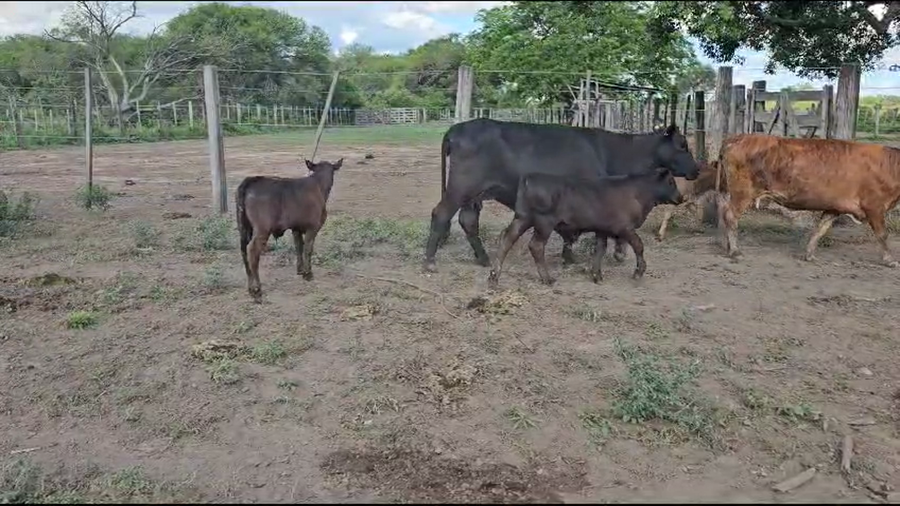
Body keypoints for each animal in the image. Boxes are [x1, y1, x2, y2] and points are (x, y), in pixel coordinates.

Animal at [235, 158, 343, 302]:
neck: (318, 185)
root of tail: (251, 181)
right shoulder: (313, 227)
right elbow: (308, 249)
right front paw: (308, 274)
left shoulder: (296, 229)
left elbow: (299, 247)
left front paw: (300, 270)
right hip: (262, 229)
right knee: (252, 251)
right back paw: (257, 290)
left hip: (244, 228)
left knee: (243, 250)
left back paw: (250, 288)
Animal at [423, 118, 702, 273]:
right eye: (682, 145)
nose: (697, 169)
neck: (614, 154)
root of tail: (458, 128)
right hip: (461, 187)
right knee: (441, 214)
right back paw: (429, 262)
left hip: (474, 195)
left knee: (468, 221)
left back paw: (483, 259)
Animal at [487, 168, 684, 288]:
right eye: (671, 182)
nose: (681, 198)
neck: (638, 192)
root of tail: (532, 176)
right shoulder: (625, 228)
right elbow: (638, 245)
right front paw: (638, 272)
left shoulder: (602, 230)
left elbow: (600, 250)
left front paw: (596, 275)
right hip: (544, 223)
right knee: (536, 246)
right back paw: (547, 278)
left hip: (522, 218)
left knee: (507, 239)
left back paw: (494, 277)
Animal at [716, 134, 900, 266]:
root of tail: (735, 138)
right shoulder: (874, 206)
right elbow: (882, 234)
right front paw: (890, 260)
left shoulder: (834, 207)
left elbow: (820, 229)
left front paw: (809, 254)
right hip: (743, 193)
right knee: (731, 216)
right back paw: (735, 251)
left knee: (723, 212)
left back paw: (726, 246)